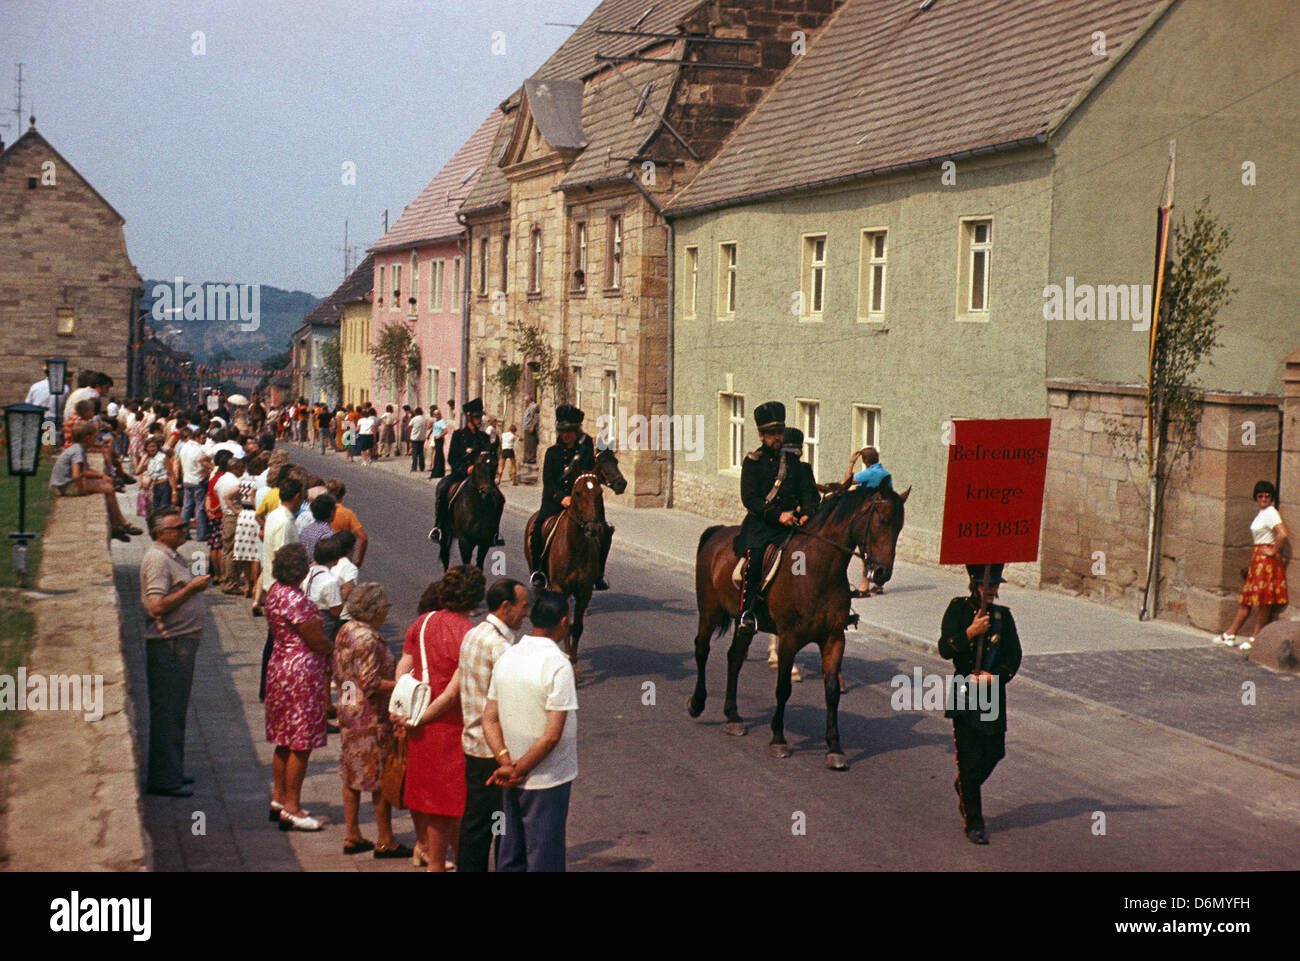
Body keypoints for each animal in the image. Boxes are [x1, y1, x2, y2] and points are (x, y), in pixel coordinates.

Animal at [520, 449, 626, 660]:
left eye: (599, 493)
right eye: (577, 493)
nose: (621, 484)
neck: (575, 548)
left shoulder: (584, 591)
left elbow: (575, 627)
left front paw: (572, 658)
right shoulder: (560, 588)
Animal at [686, 483, 909, 769]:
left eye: (900, 527)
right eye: (882, 521)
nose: (882, 573)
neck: (817, 568)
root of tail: (718, 532)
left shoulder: (834, 639)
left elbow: (832, 691)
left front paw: (834, 748)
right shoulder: (789, 638)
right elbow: (783, 688)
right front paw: (778, 740)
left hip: (743, 622)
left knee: (734, 658)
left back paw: (733, 716)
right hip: (710, 611)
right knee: (702, 649)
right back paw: (697, 703)